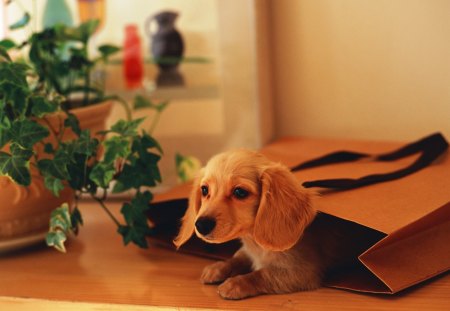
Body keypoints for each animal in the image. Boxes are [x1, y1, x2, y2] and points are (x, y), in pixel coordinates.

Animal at [174, 150, 370, 302]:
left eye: (240, 192)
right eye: (204, 190)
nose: (201, 225)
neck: (255, 243)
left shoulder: (302, 272)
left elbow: (263, 274)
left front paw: (236, 283)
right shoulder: (248, 252)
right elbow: (238, 257)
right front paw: (218, 267)